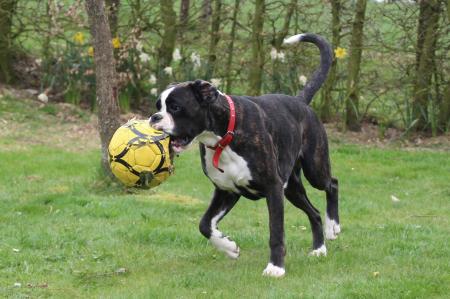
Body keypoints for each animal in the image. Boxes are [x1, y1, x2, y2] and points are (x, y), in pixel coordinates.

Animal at [149, 33, 340, 278]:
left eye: (175, 107)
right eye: (158, 106)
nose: (154, 117)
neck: (224, 135)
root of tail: (299, 100)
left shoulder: (272, 189)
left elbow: (276, 232)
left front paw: (275, 267)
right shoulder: (227, 190)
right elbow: (205, 224)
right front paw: (229, 247)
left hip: (314, 169)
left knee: (332, 184)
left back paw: (333, 226)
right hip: (291, 187)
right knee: (314, 213)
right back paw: (319, 249)